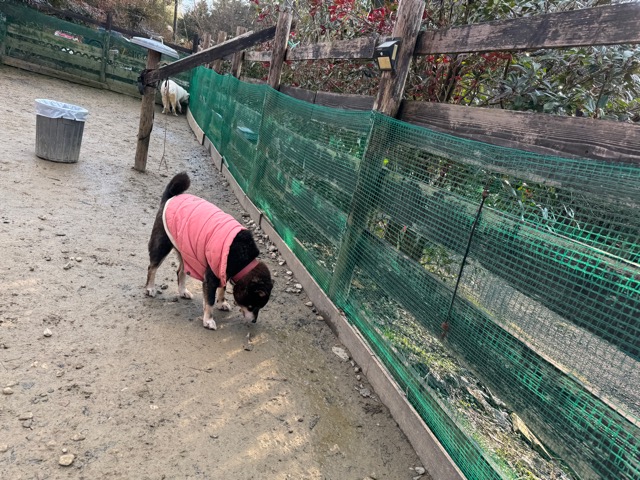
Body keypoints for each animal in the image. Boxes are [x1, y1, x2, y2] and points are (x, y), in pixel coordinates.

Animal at [145, 172, 273, 330]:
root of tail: (171, 196)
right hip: (162, 245)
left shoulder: (223, 271)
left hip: (185, 251)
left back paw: (183, 291)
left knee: (180, 271)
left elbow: (222, 289)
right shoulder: (212, 276)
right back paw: (150, 288)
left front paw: (222, 302)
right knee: (152, 267)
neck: (243, 258)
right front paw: (208, 320)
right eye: (252, 306)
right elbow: (210, 301)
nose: (254, 321)